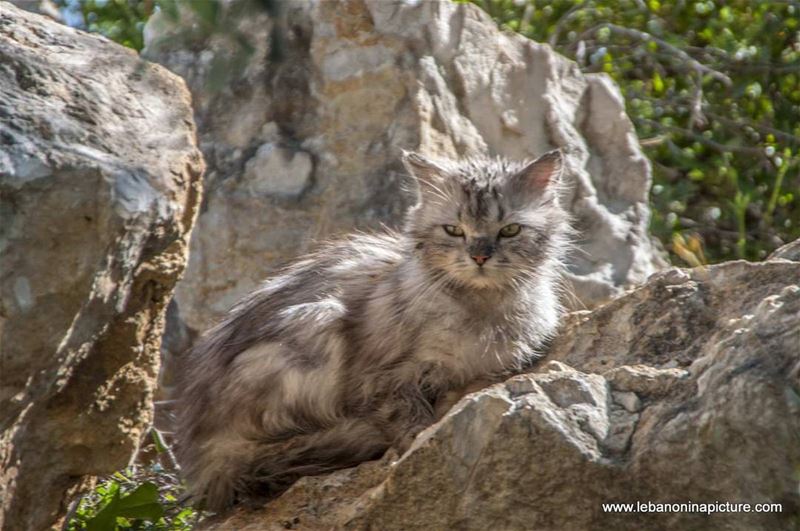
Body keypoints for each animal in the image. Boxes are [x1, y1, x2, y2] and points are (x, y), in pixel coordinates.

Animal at [176, 149, 576, 512]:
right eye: (454, 230)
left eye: (510, 230)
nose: (479, 256)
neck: (481, 312)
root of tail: (202, 459)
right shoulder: (382, 378)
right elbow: (408, 419)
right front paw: (416, 438)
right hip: (316, 322)